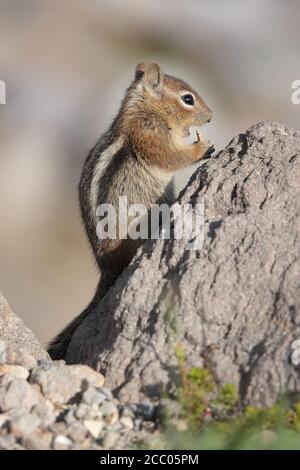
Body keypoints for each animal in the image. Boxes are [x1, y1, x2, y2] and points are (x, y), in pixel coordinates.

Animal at [48, 60, 212, 358]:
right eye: (188, 99)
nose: (210, 117)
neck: (144, 109)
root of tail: (106, 268)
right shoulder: (149, 135)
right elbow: (172, 157)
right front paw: (201, 146)